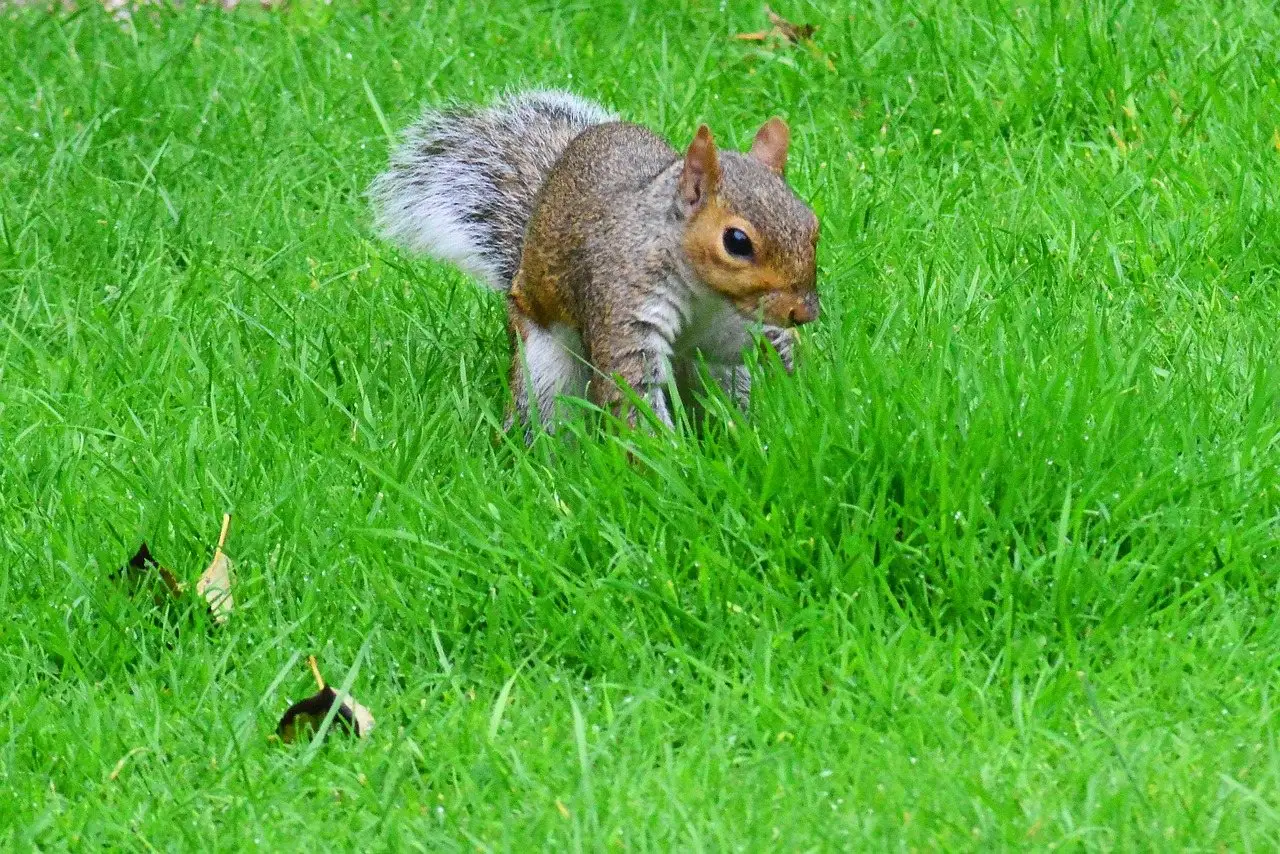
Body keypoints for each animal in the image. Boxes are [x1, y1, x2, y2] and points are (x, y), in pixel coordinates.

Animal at [370, 90, 820, 434]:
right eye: (737, 241)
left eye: (812, 224)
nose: (804, 313)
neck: (706, 296)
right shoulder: (621, 302)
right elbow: (632, 390)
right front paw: (671, 465)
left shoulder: (734, 328)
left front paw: (801, 403)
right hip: (544, 371)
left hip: (716, 376)